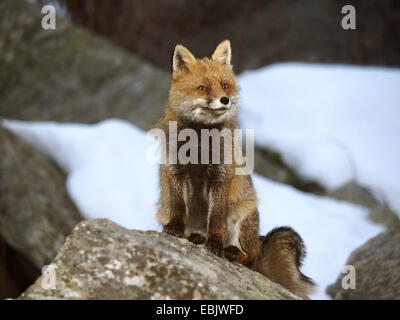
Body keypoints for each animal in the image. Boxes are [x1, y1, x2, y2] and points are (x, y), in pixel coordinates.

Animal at [155, 40, 314, 300]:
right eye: (202, 88)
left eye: (225, 85)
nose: (225, 100)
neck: (199, 144)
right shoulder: (175, 171)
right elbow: (179, 208)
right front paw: (176, 230)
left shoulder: (221, 176)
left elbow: (216, 220)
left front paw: (215, 246)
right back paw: (196, 237)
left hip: (242, 216)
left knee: (248, 256)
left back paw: (230, 251)